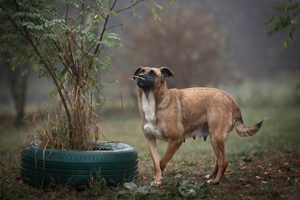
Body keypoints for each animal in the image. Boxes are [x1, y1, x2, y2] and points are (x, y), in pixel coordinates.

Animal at [134, 67, 262, 186]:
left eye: (152, 73)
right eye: (141, 70)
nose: (140, 76)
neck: (152, 103)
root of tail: (231, 99)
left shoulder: (175, 140)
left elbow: (161, 162)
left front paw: (159, 178)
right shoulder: (151, 141)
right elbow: (156, 164)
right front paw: (157, 179)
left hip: (216, 137)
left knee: (223, 161)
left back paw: (215, 181)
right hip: (215, 139)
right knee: (218, 159)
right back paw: (211, 176)